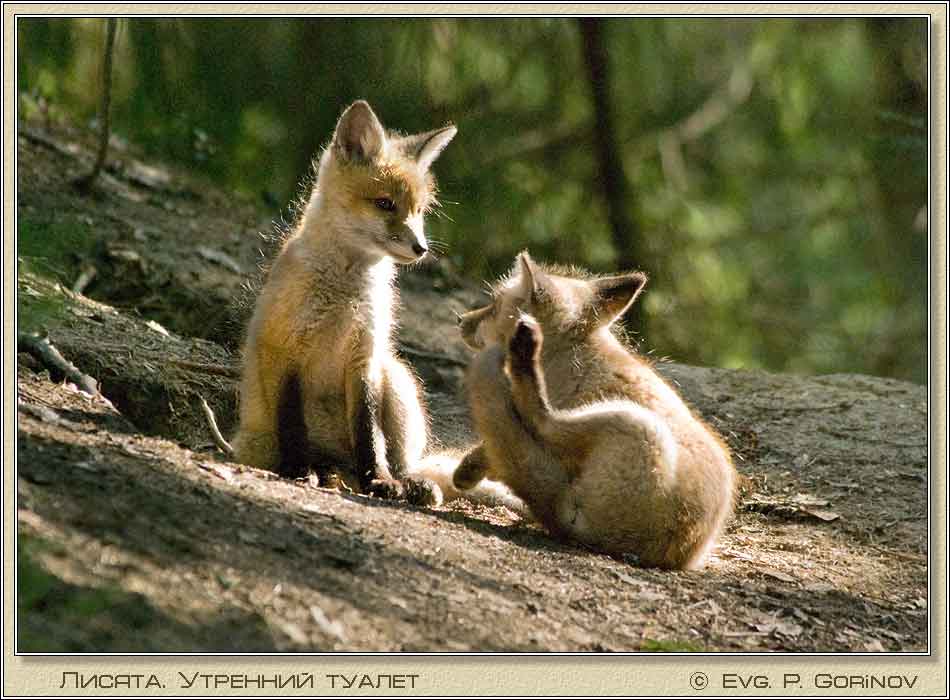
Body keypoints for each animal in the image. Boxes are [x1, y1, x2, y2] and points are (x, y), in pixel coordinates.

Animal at [232, 100, 456, 505]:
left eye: (419, 211)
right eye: (385, 204)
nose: (421, 249)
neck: (342, 294)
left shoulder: (363, 357)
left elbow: (368, 435)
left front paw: (379, 480)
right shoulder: (286, 351)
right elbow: (291, 425)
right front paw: (297, 470)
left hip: (394, 379)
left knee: (400, 460)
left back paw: (405, 482)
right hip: (258, 442)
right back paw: (323, 472)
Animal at [451, 252, 736, 569]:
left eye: (495, 303)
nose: (461, 319)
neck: (569, 355)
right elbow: (494, 447)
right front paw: (469, 468)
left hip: (634, 423)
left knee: (543, 420)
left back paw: (525, 356)